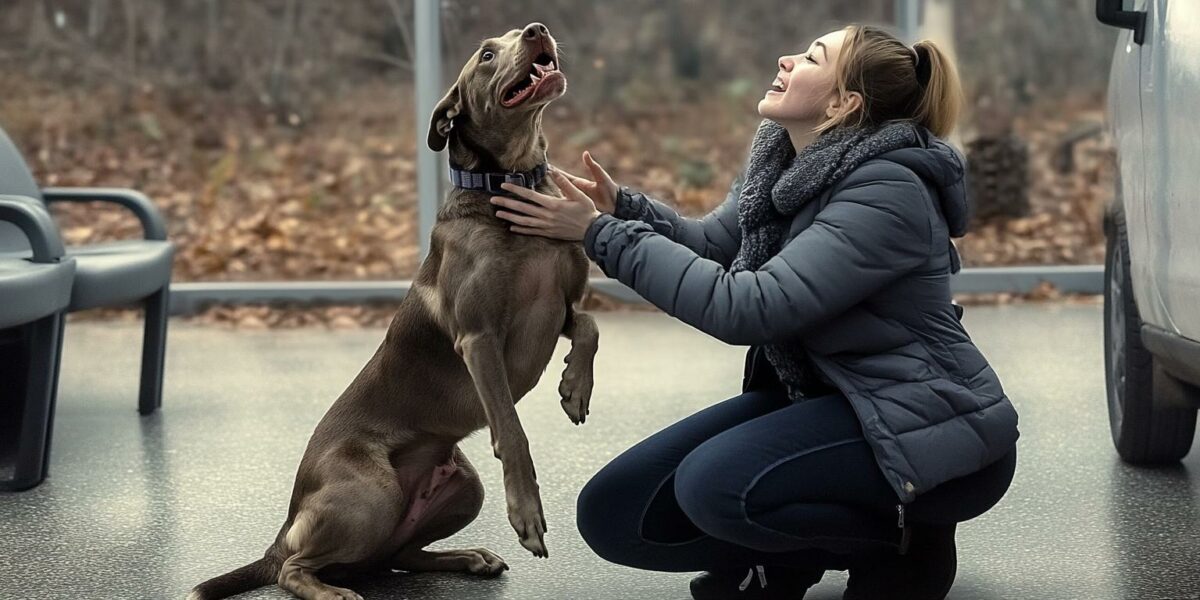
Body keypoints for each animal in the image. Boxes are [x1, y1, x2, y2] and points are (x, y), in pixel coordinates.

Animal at [189, 23, 597, 600]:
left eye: (519, 32)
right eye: (487, 54)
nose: (538, 30)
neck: (511, 188)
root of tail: (284, 525)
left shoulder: (559, 309)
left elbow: (589, 325)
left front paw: (574, 388)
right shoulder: (479, 338)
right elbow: (512, 430)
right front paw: (527, 513)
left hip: (463, 487)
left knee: (398, 556)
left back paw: (469, 557)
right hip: (371, 495)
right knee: (297, 569)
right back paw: (331, 590)